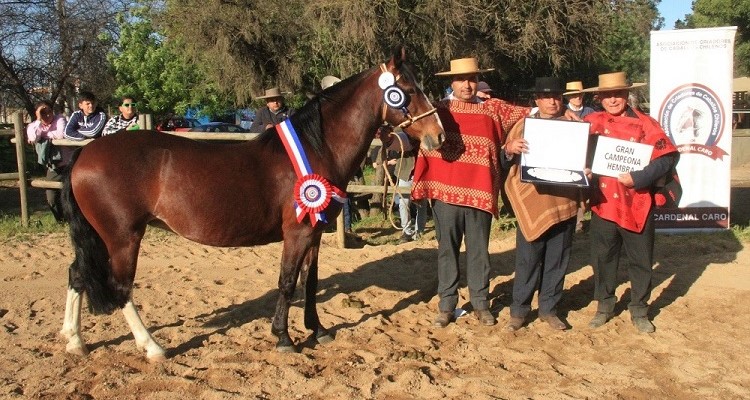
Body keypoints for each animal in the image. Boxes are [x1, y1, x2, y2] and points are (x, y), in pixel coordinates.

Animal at [61, 45, 446, 360]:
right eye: (408, 91)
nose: (438, 135)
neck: (316, 147)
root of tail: (84, 155)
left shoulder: (314, 233)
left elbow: (310, 280)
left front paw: (318, 330)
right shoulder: (297, 234)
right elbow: (287, 282)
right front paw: (284, 338)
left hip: (100, 237)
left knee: (77, 274)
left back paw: (74, 341)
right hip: (122, 237)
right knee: (121, 288)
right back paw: (153, 347)